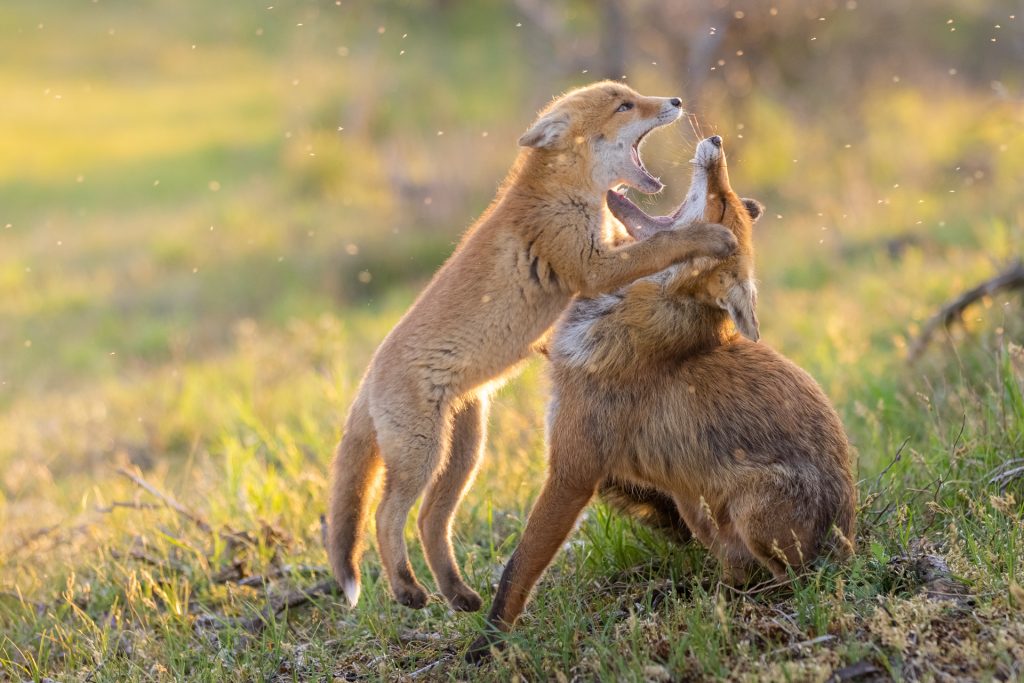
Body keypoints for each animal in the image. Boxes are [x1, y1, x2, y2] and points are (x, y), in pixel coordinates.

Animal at [326, 83, 740, 613]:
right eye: (624, 106)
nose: (675, 102)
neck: (564, 196)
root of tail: (367, 378)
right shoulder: (591, 268)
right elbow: (661, 245)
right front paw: (709, 235)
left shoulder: (603, 255)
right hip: (422, 453)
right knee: (385, 516)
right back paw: (406, 588)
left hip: (465, 453)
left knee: (428, 520)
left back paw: (459, 594)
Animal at [468, 135, 856, 657]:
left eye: (720, 204)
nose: (715, 141)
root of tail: (849, 546)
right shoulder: (623, 474)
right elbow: (659, 509)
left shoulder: (573, 469)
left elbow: (518, 569)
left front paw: (486, 646)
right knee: (733, 561)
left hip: (755, 508)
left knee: (787, 580)